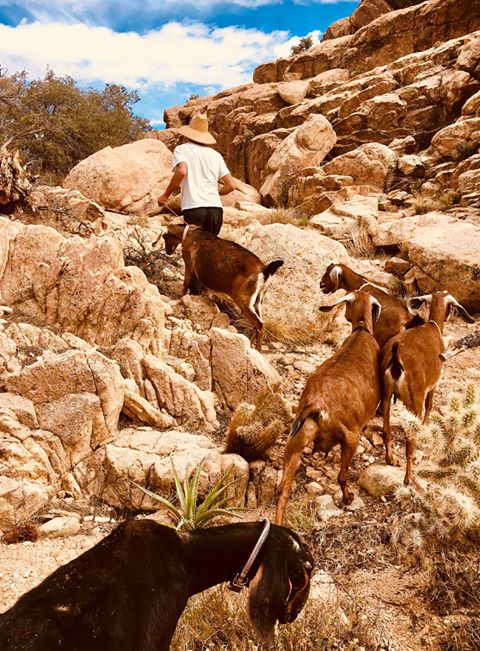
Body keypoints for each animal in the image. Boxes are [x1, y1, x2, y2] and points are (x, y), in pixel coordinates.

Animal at [164, 224, 284, 352]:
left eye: (165, 237)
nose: (168, 251)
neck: (191, 234)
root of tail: (265, 271)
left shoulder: (189, 265)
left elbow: (185, 284)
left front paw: (180, 298)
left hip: (244, 301)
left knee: (259, 325)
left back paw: (258, 350)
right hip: (258, 301)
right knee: (257, 324)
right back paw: (250, 344)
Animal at [274, 290, 382, 524]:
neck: (361, 331)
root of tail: (316, 406)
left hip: (296, 440)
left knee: (283, 488)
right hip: (350, 438)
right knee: (341, 476)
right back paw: (348, 498)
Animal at [380, 292, 474, 486]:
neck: (433, 327)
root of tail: (396, 359)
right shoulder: (434, 384)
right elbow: (430, 405)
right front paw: (426, 425)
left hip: (386, 395)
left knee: (386, 430)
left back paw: (390, 459)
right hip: (414, 400)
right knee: (410, 440)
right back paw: (408, 477)